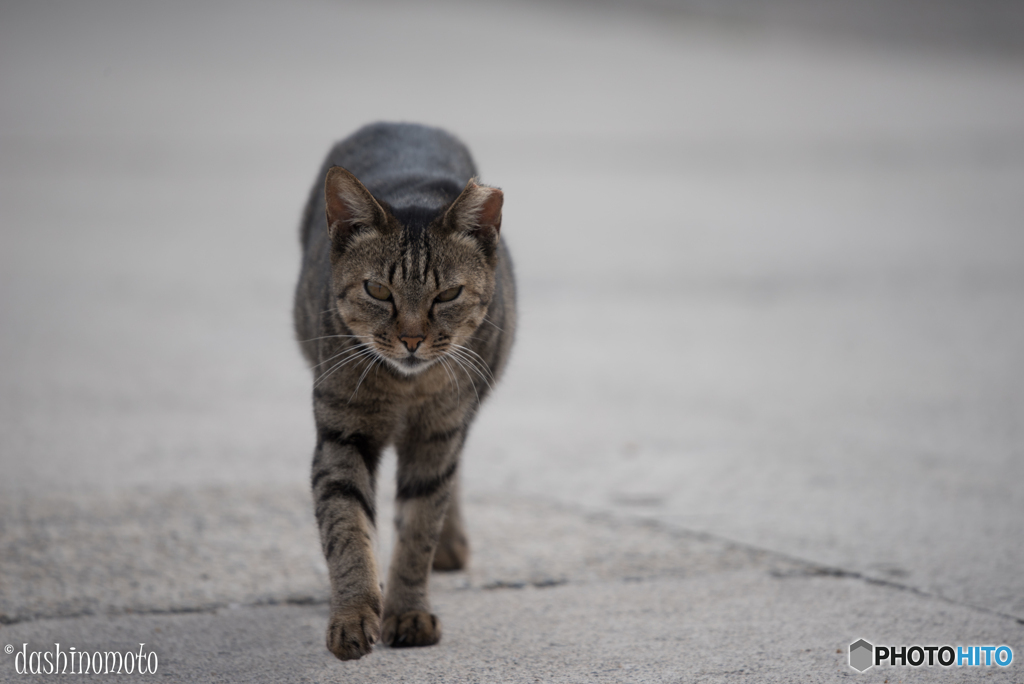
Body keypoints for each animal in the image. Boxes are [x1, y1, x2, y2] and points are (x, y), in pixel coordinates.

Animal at [292, 124, 516, 663]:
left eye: (447, 295)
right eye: (377, 291)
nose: (412, 339)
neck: (404, 389)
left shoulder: (438, 436)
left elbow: (418, 530)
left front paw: (408, 612)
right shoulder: (341, 434)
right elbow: (346, 528)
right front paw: (352, 616)